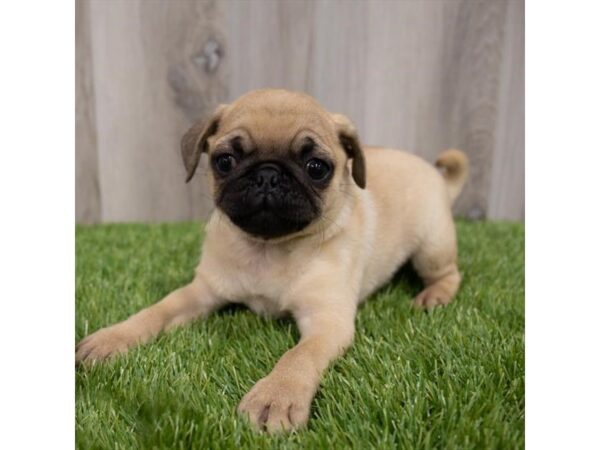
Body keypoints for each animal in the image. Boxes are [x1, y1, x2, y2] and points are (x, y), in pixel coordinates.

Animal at [75, 87, 468, 432]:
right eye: (224, 161)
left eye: (317, 167)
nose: (267, 174)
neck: (268, 249)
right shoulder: (201, 292)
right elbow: (157, 310)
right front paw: (112, 338)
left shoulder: (326, 323)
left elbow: (298, 357)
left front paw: (276, 397)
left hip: (432, 247)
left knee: (450, 273)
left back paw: (433, 296)